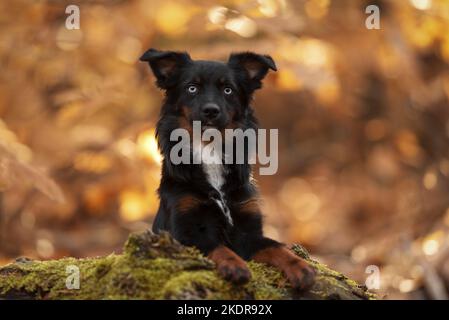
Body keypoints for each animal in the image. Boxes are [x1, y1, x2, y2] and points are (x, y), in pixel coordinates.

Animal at [140, 48, 316, 290]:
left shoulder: (248, 231)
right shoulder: (185, 231)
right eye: (192, 88)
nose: (211, 111)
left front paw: (300, 266)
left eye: (228, 89)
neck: (210, 150)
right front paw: (235, 266)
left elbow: (275, 246)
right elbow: (217, 247)